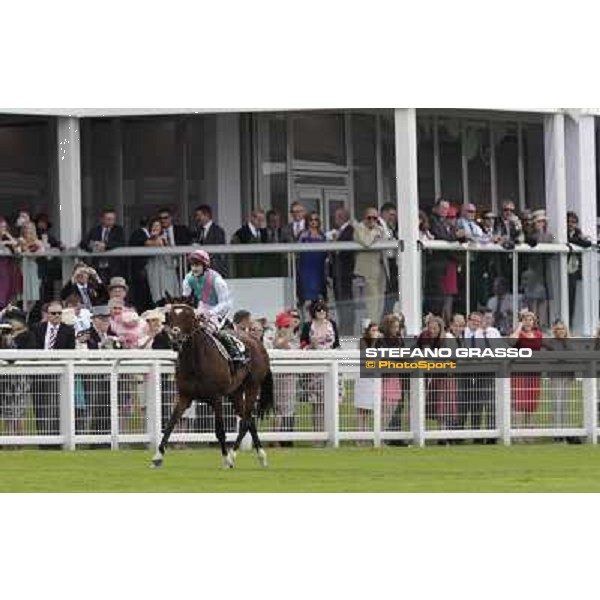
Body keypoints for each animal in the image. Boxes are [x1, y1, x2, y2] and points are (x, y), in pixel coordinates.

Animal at [150, 300, 274, 468]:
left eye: (189, 317)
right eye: (170, 316)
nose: (176, 339)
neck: (195, 362)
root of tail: (258, 343)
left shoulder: (216, 397)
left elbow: (220, 430)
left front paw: (225, 458)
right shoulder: (184, 396)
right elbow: (170, 424)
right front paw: (158, 456)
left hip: (252, 387)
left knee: (246, 421)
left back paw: (233, 455)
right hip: (234, 392)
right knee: (249, 420)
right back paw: (260, 456)